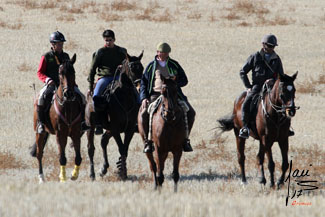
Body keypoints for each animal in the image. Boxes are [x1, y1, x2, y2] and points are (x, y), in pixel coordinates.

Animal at [32, 54, 82, 183]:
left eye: (73, 72)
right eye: (60, 73)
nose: (68, 93)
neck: (67, 105)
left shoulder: (75, 133)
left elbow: (78, 157)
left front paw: (74, 175)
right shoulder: (60, 134)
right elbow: (62, 158)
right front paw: (63, 178)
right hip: (40, 132)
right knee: (39, 154)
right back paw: (41, 177)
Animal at [85, 50, 143, 180]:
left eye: (141, 68)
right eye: (132, 67)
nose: (138, 84)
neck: (125, 98)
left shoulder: (129, 129)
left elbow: (125, 149)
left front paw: (123, 172)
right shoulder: (116, 129)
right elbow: (121, 148)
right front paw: (122, 173)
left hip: (109, 129)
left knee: (103, 141)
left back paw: (103, 169)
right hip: (91, 126)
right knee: (91, 148)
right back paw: (92, 174)